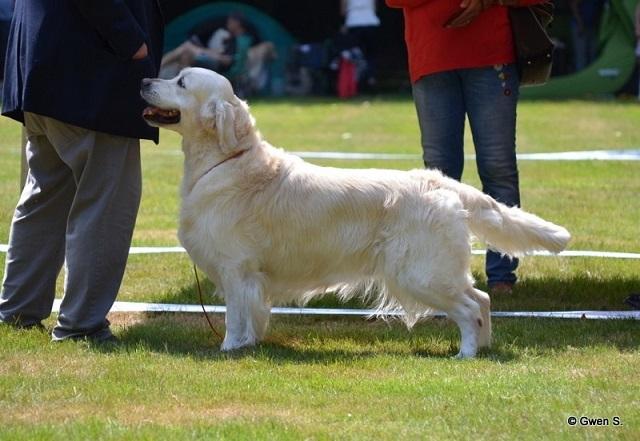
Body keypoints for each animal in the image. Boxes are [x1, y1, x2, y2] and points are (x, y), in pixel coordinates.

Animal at [141, 69, 568, 358]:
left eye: (181, 82)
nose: (144, 80)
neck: (225, 161)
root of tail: (437, 181)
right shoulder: (250, 276)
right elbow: (252, 314)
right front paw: (249, 344)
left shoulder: (236, 268)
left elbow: (234, 315)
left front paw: (230, 348)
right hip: (436, 269)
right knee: (481, 300)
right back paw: (484, 347)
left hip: (418, 272)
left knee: (467, 308)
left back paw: (465, 353)